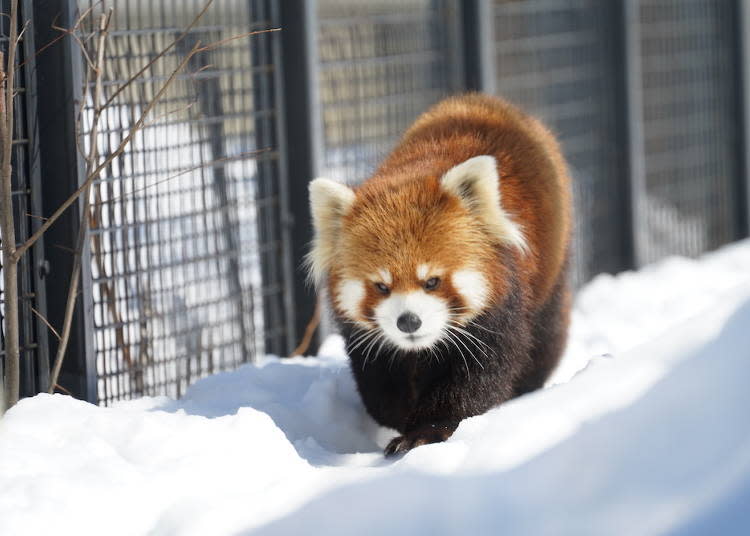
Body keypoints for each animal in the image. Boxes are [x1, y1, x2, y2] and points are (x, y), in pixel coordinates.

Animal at [308, 94, 572, 454]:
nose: (408, 321)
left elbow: (478, 378)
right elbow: (378, 384)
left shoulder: (501, 308)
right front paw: (401, 415)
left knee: (545, 338)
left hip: (552, 269)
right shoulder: (368, 341)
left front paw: (424, 431)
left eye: (431, 281)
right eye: (381, 286)